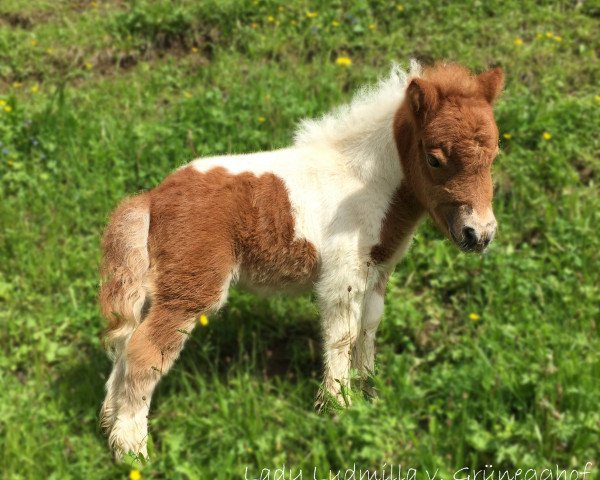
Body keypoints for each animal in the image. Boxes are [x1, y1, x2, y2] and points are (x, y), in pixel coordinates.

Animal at [98, 60, 502, 458]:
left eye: (495, 154)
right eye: (434, 158)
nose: (479, 234)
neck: (364, 182)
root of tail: (153, 197)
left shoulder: (378, 271)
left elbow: (369, 326)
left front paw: (369, 389)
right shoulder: (342, 279)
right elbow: (342, 336)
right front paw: (339, 406)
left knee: (124, 345)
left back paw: (111, 426)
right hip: (190, 288)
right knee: (143, 351)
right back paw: (132, 450)